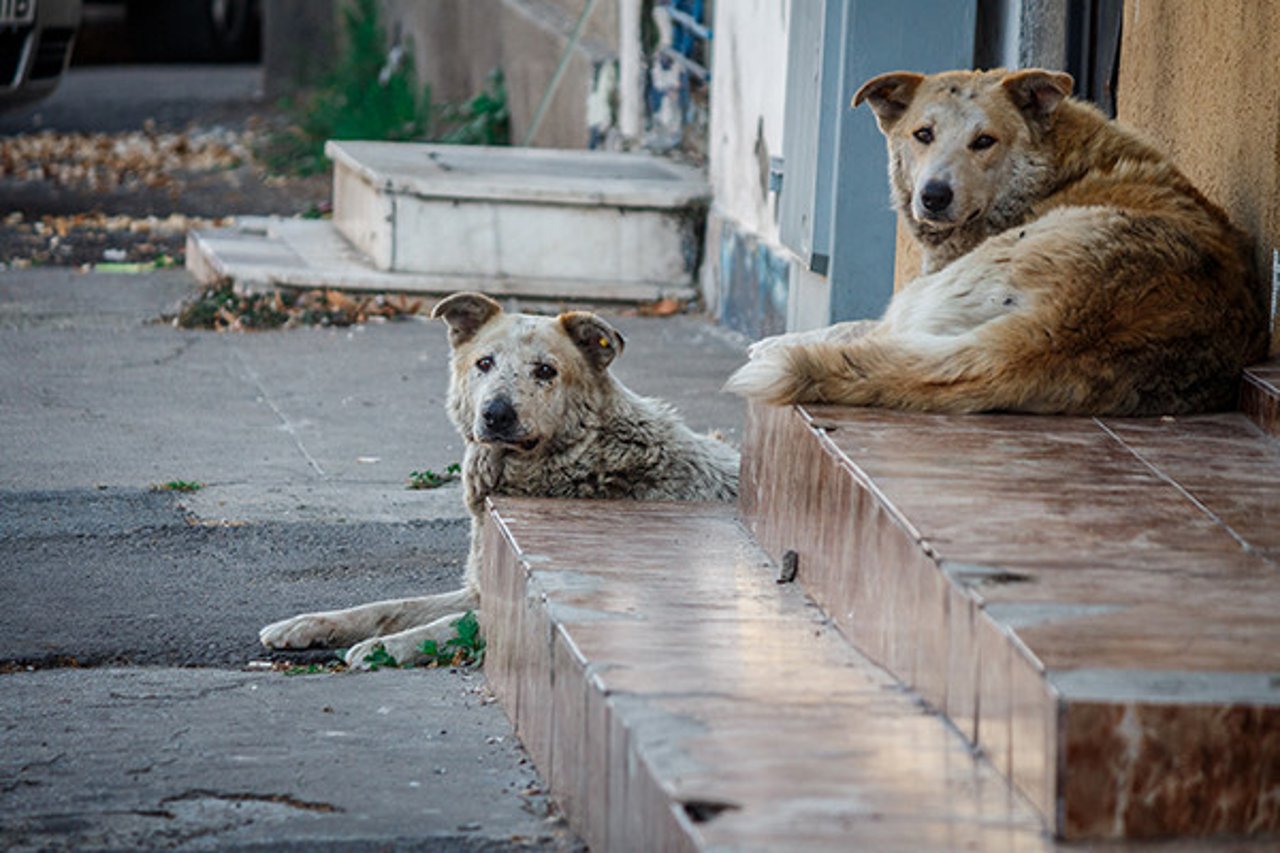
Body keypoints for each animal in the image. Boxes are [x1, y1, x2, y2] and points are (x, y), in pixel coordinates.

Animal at [261, 292, 742, 666]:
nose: (496, 414)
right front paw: (307, 625)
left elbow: (445, 624)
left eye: (545, 371)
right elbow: (388, 606)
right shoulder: (477, 587)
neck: (584, 455)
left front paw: (385, 647)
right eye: (485, 363)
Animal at [727, 68, 1264, 412]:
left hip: (932, 295)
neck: (1049, 172)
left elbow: (848, 325)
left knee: (877, 335)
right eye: (923, 134)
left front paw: (778, 340)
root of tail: (1059, 329)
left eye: (983, 142)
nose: (933, 196)